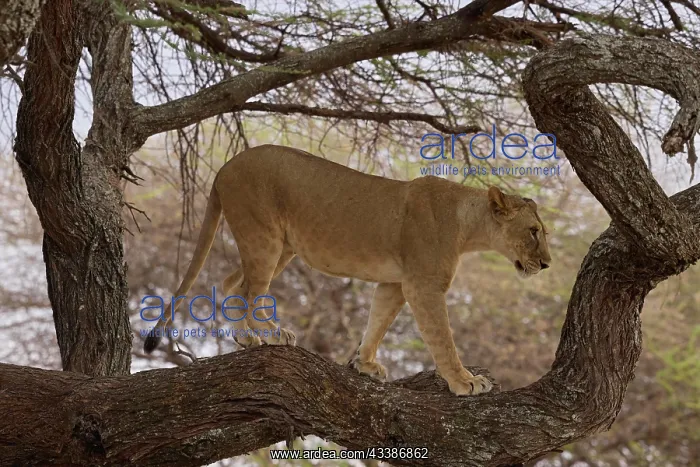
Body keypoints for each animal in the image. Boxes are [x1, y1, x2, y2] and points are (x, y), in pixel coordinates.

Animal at [143, 144, 552, 396]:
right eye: (533, 232)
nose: (547, 264)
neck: (468, 225)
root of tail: (224, 167)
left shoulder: (395, 282)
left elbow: (378, 321)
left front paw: (364, 364)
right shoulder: (424, 285)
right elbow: (442, 339)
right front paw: (464, 381)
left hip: (282, 246)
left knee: (233, 282)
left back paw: (246, 338)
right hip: (264, 235)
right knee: (254, 290)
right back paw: (272, 334)